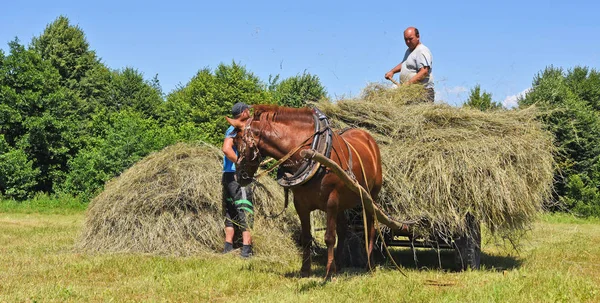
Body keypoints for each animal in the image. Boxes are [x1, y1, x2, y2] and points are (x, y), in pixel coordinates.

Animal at [227, 105, 382, 280]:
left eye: (237, 141)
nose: (239, 176)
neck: (313, 153)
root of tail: (368, 138)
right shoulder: (301, 204)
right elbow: (307, 237)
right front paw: (305, 270)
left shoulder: (331, 201)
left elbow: (329, 237)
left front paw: (329, 272)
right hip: (342, 203)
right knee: (343, 229)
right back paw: (340, 265)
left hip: (369, 197)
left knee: (370, 229)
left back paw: (369, 265)